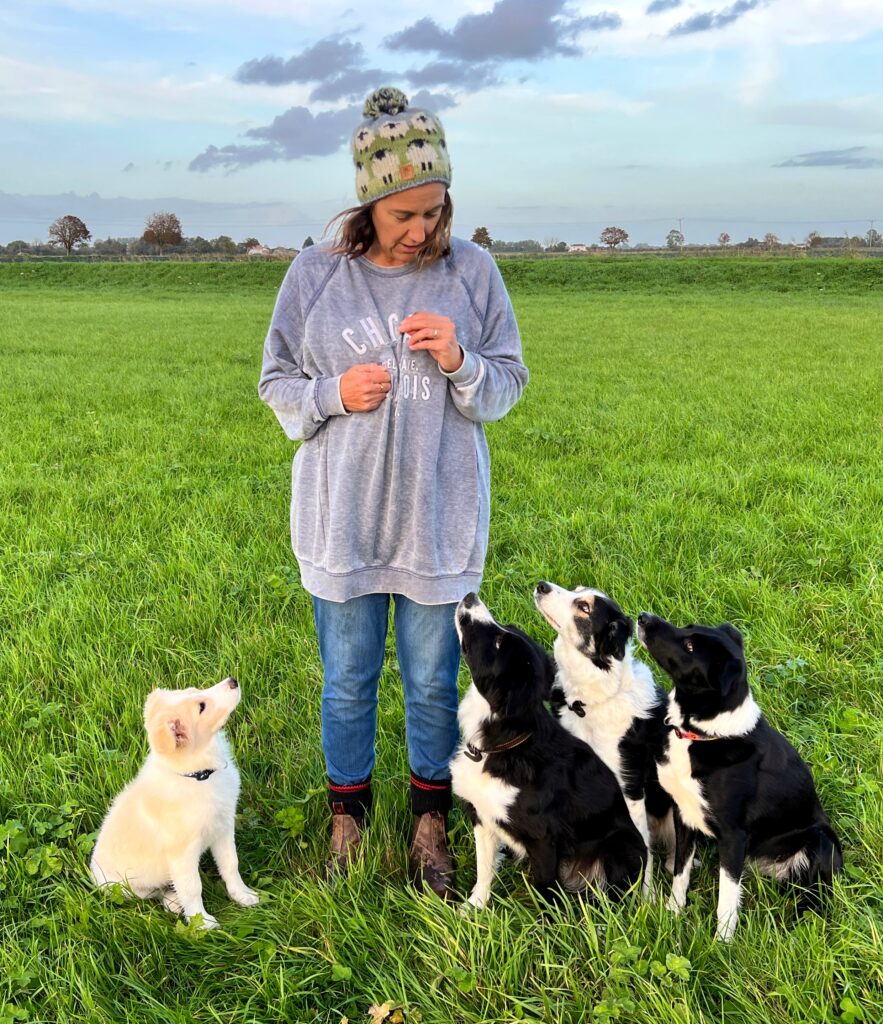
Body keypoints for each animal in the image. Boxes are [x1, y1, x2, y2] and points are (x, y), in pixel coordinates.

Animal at [92, 679, 261, 929]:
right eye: (201, 707)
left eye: (194, 691)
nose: (233, 681)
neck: (199, 776)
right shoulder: (182, 852)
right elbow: (192, 888)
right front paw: (202, 923)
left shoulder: (223, 827)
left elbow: (231, 864)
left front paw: (243, 895)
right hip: (123, 888)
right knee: (153, 893)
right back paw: (173, 903)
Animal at [452, 598, 647, 909]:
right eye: (504, 630)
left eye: (498, 642)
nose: (470, 596)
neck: (501, 743)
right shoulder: (482, 816)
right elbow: (484, 869)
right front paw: (473, 908)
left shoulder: (543, 839)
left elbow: (545, 894)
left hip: (620, 844)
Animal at [536, 585, 676, 897]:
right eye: (575, 589)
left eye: (584, 608)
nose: (542, 585)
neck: (587, 701)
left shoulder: (628, 785)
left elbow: (642, 845)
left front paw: (646, 899)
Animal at [635, 610, 844, 937]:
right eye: (688, 628)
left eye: (691, 646)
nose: (644, 618)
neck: (704, 734)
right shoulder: (684, 815)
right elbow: (680, 872)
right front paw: (672, 913)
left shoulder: (733, 836)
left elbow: (726, 900)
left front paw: (721, 942)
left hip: (822, 840)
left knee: (815, 897)